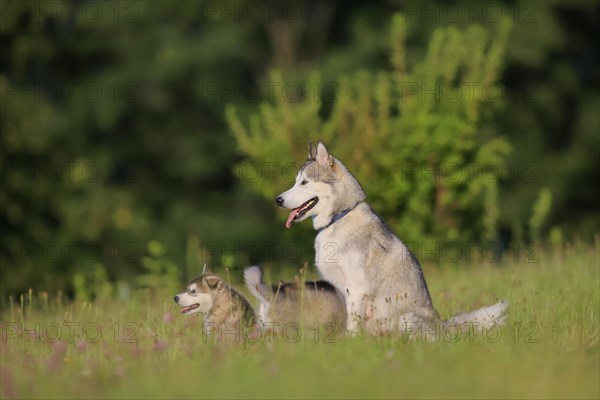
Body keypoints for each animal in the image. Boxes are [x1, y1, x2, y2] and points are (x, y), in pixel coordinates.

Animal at [276, 142, 506, 336]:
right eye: (296, 182)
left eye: (304, 182)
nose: (278, 200)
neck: (339, 217)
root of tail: (442, 326)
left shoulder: (356, 288)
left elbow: (353, 323)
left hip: (407, 319)